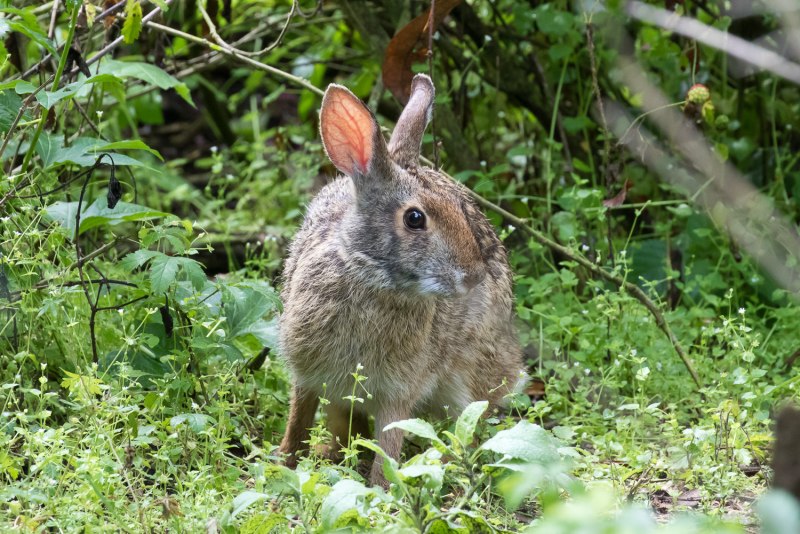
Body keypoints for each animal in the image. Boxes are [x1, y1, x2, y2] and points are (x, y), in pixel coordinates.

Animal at [278, 73, 526, 487]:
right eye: (414, 219)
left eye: (462, 211)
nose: (474, 276)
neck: (373, 277)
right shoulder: (307, 373)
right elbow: (298, 418)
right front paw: (284, 463)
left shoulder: (398, 390)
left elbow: (390, 441)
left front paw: (380, 487)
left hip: (471, 372)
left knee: (471, 425)